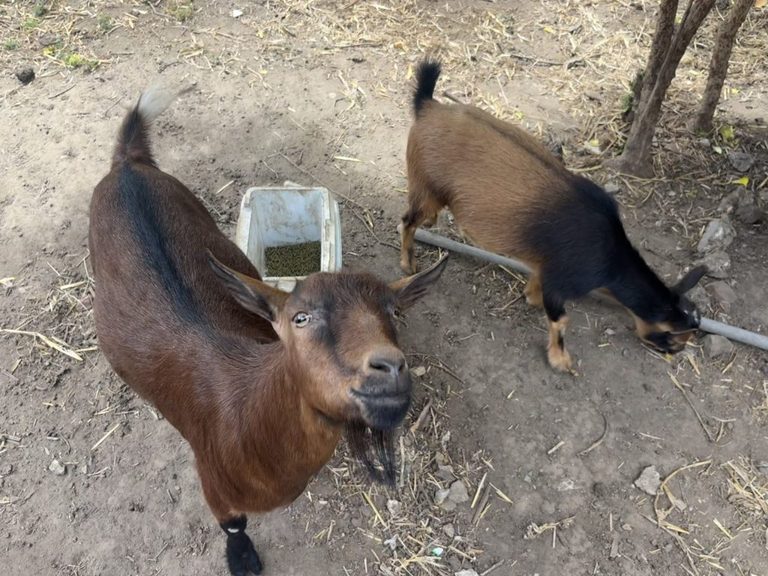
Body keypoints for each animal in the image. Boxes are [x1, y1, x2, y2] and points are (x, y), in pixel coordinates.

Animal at [88, 86, 448, 575]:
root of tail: (126, 165)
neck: (249, 410)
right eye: (300, 317)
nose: (389, 369)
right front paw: (242, 559)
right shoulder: (215, 486)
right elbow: (234, 525)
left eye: (393, 311)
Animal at [399, 60, 705, 372]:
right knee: (406, 221)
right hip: (427, 185)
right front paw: (560, 360)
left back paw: (430, 224)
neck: (610, 257)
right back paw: (408, 263)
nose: (675, 353)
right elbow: (561, 320)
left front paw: (530, 297)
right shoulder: (562, 280)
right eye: (674, 339)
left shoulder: (545, 267)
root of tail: (428, 106)